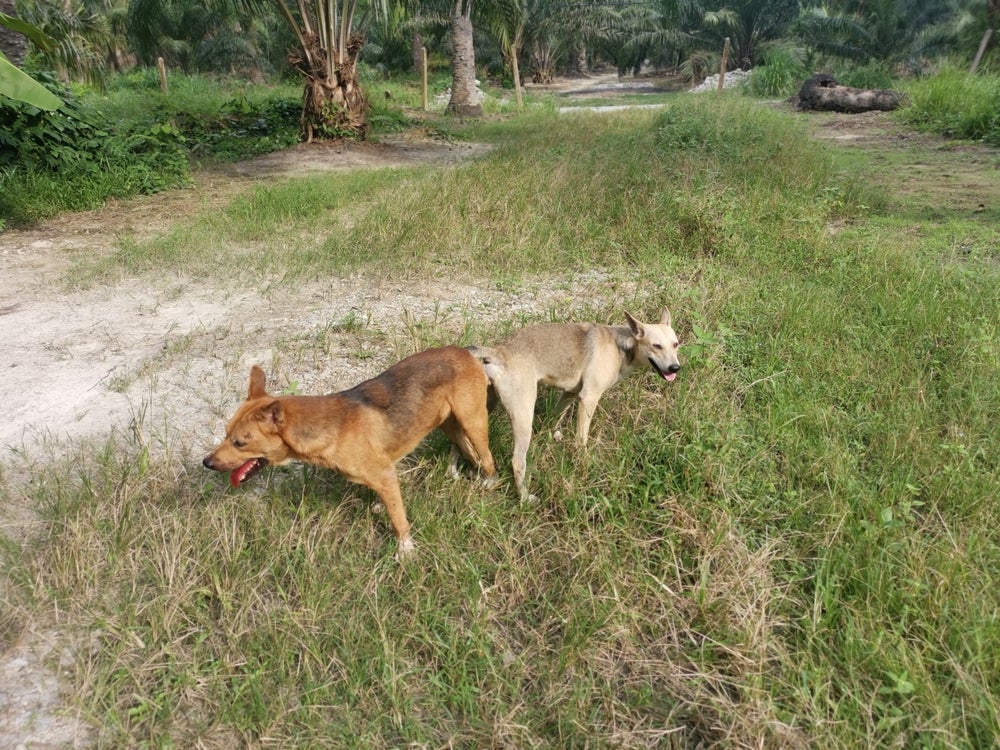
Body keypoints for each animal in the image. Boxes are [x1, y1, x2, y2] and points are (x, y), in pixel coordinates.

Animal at [203, 348, 500, 560]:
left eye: (240, 443)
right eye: (225, 433)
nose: (207, 462)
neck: (328, 428)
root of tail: (466, 351)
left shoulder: (385, 474)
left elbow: (399, 521)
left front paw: (405, 550)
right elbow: (388, 502)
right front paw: (381, 507)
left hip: (473, 422)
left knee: (488, 459)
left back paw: (488, 482)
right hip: (449, 425)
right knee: (471, 454)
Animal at [468, 308, 680, 502]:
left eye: (675, 344)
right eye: (656, 346)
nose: (675, 368)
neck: (621, 345)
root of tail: (497, 351)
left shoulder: (569, 394)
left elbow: (553, 419)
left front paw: (550, 438)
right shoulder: (588, 398)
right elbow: (581, 440)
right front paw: (583, 463)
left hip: (481, 410)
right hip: (522, 417)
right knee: (517, 462)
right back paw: (525, 497)